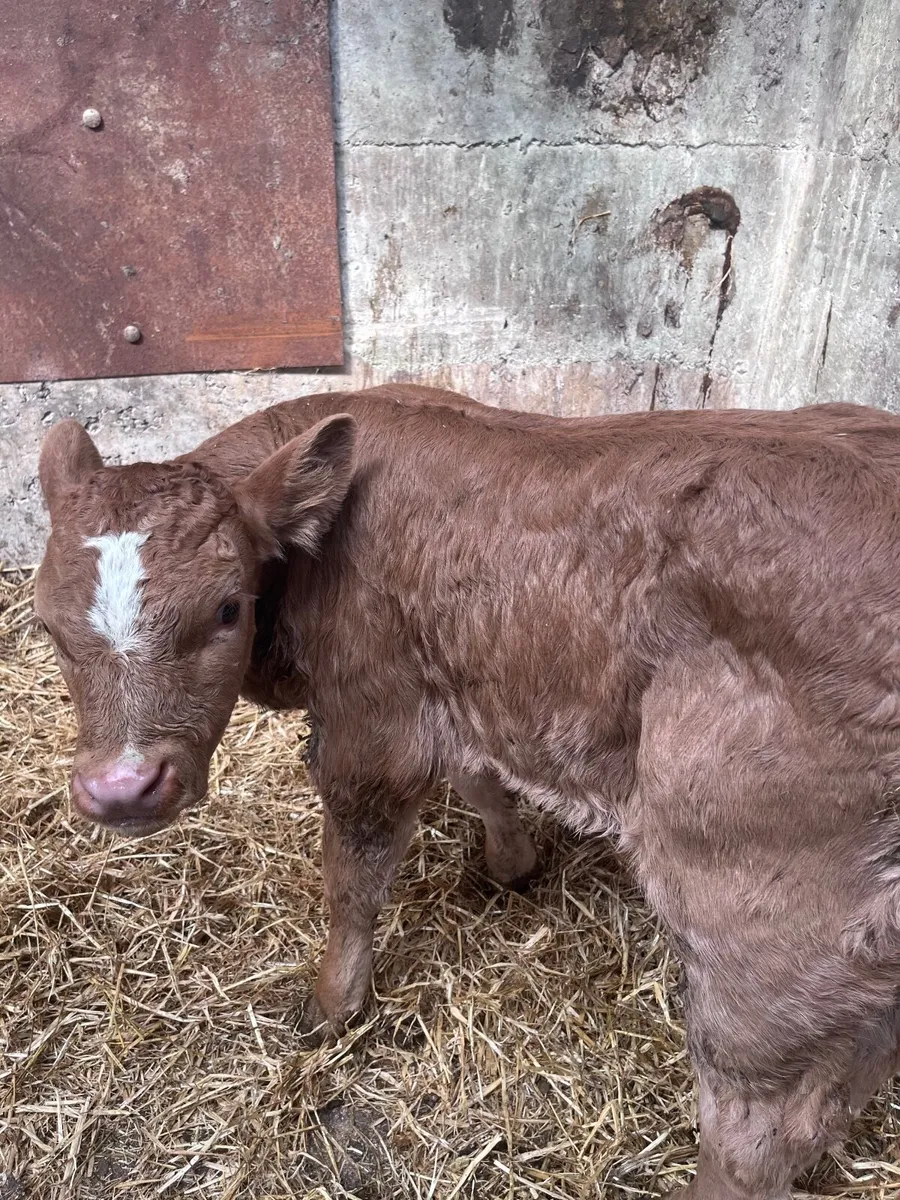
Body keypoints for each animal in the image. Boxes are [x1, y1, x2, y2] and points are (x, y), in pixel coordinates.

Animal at [35, 383, 900, 1199]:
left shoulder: (372, 720)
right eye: (46, 626)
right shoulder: (452, 681)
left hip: (759, 899)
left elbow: (352, 880)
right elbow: (479, 773)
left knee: (760, 1133)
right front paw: (511, 864)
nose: (122, 787)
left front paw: (331, 1007)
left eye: (227, 608)